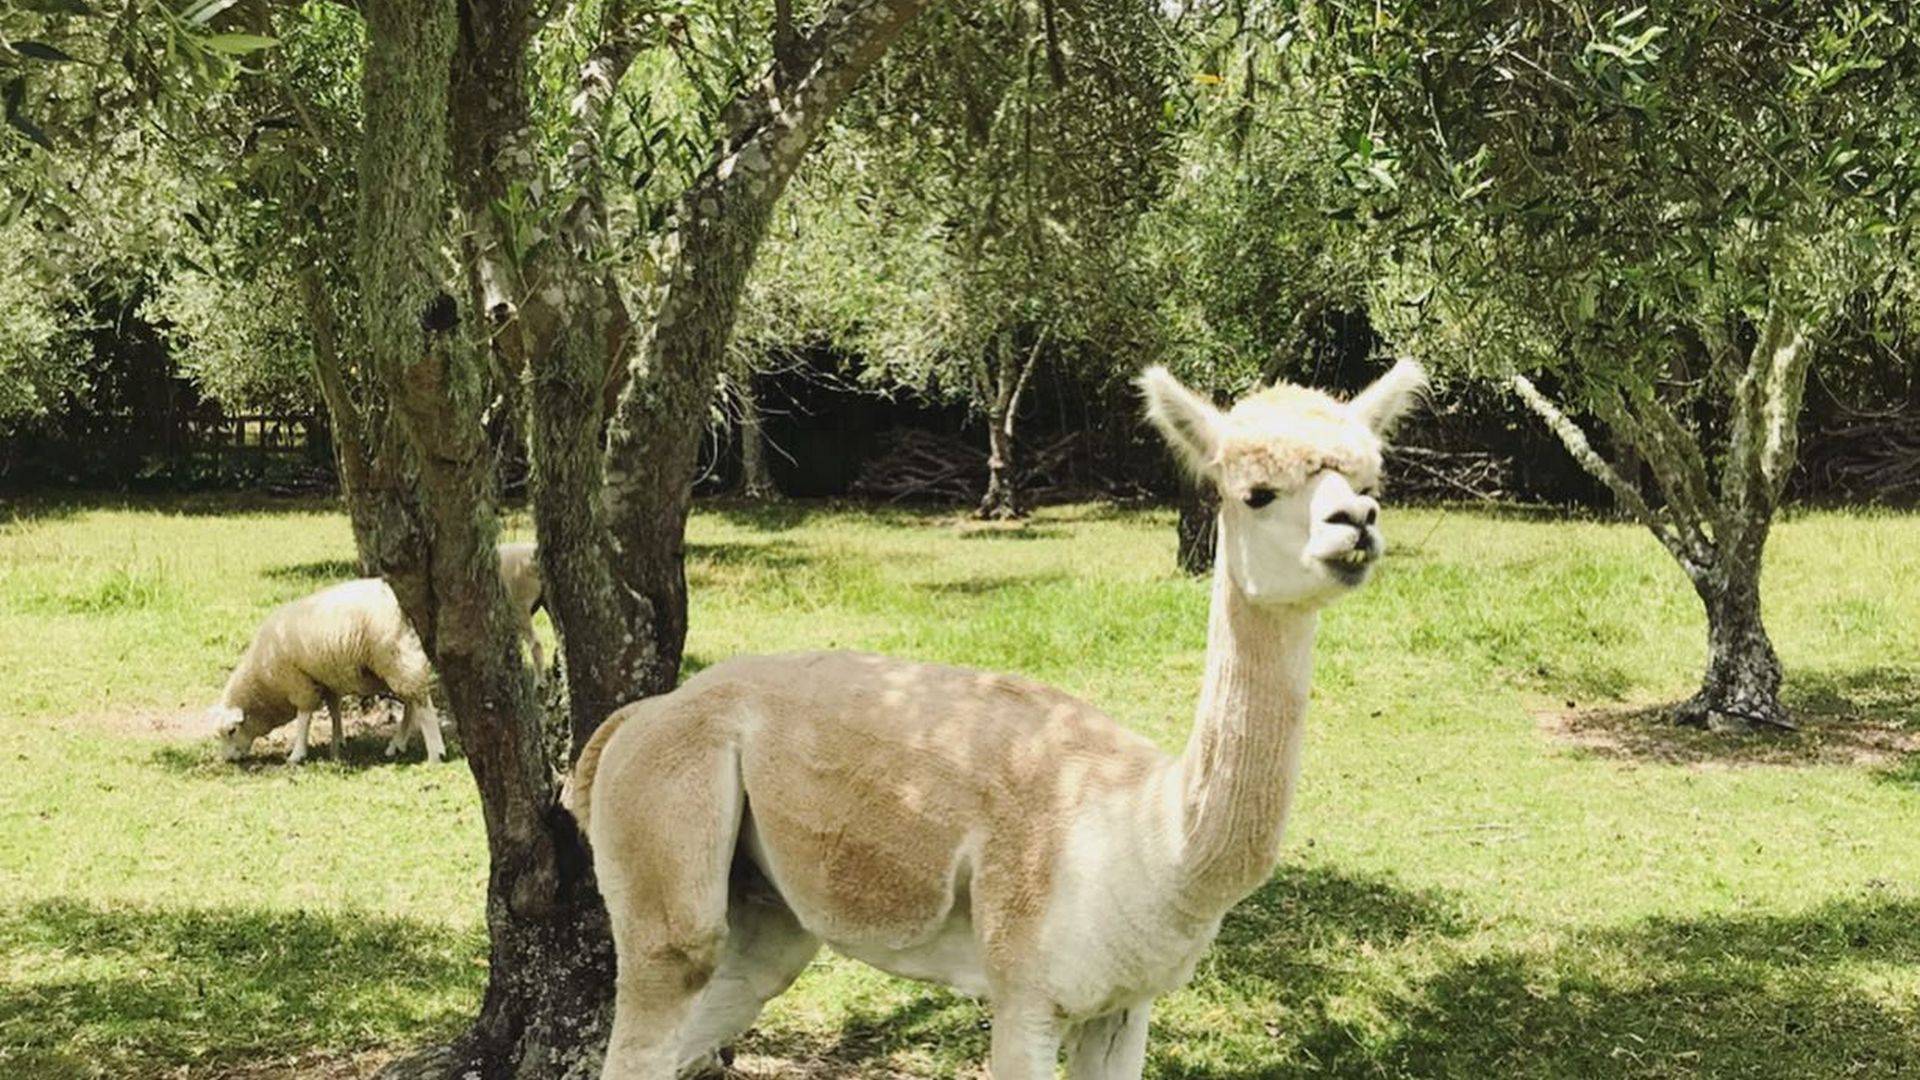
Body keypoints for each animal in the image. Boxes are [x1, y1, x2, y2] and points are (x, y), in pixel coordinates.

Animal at [208, 576, 447, 760]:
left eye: (232, 730)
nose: (227, 760)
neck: (262, 680)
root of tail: (398, 600)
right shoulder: (326, 680)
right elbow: (334, 710)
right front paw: (338, 740)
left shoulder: (297, 681)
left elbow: (304, 717)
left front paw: (297, 753)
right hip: (391, 665)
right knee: (410, 702)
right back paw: (397, 744)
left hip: (396, 656)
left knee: (422, 704)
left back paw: (435, 752)